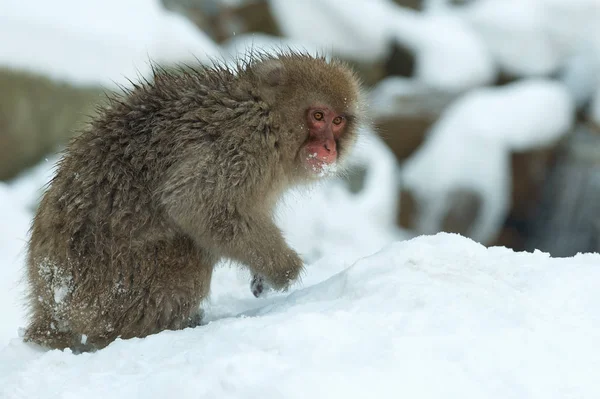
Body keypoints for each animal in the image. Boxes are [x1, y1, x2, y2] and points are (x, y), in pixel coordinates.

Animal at [23, 52, 364, 354]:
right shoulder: (241, 142)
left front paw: (263, 273)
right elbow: (196, 204)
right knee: (189, 258)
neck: (268, 115)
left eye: (337, 121)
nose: (329, 147)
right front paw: (285, 270)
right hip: (109, 290)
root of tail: (50, 305)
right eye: (318, 116)